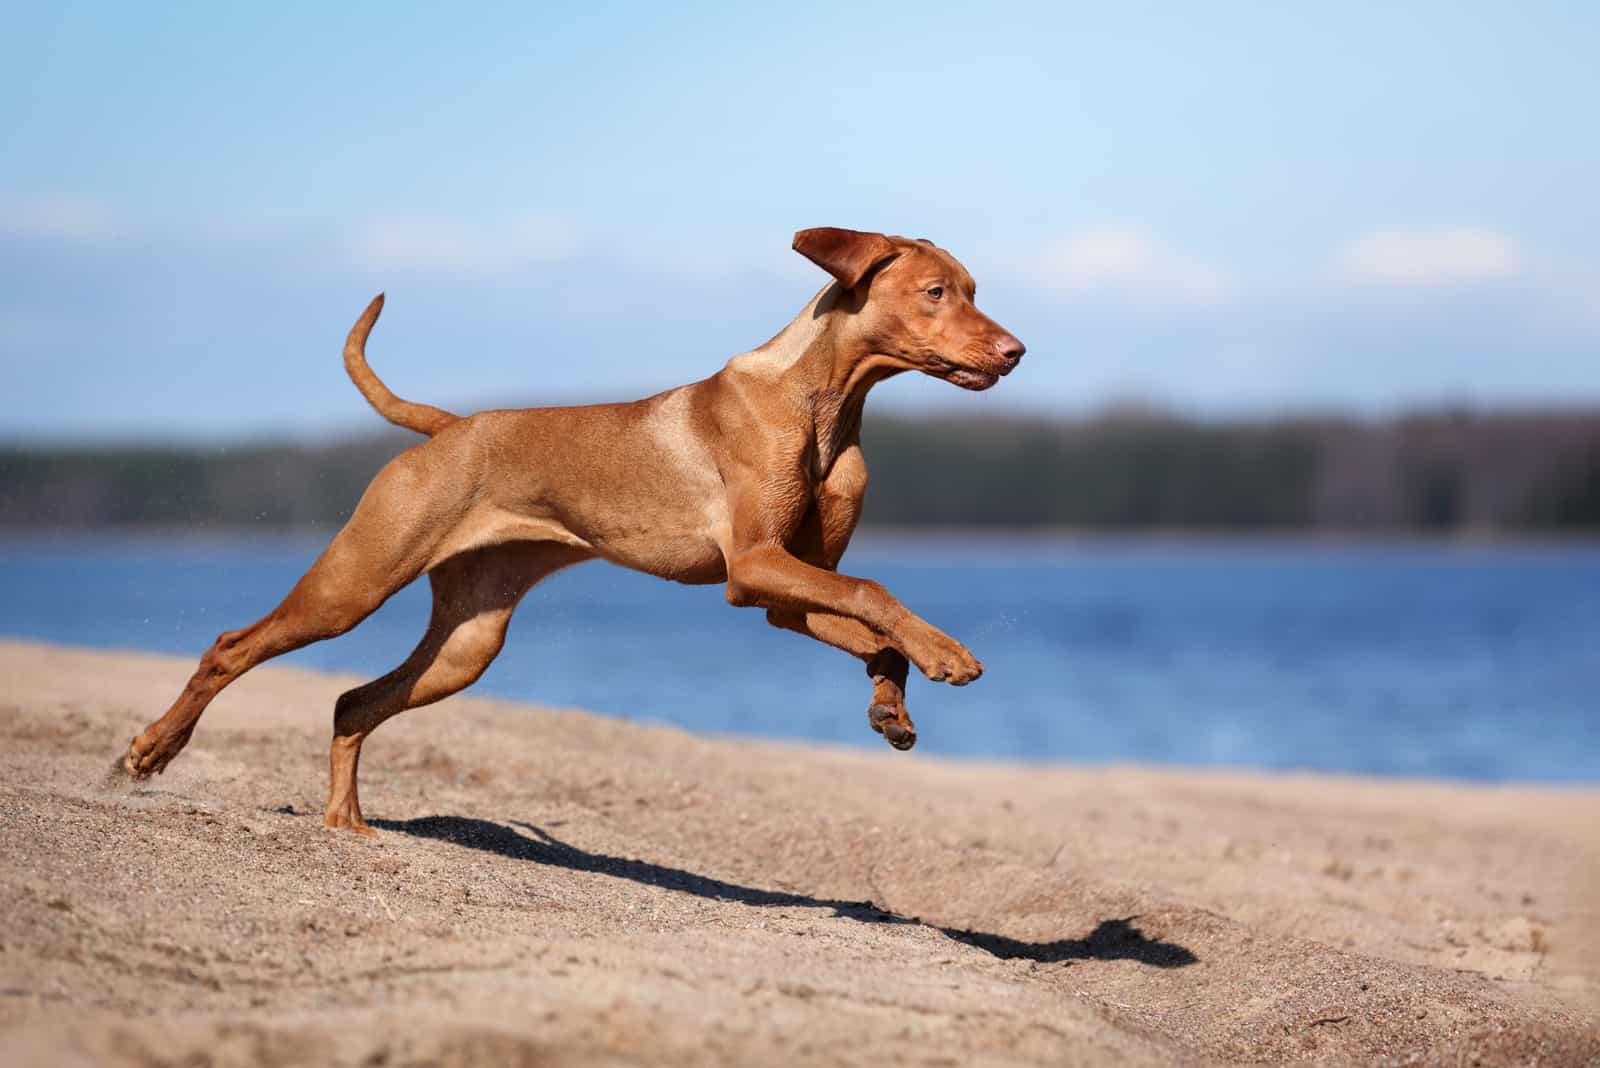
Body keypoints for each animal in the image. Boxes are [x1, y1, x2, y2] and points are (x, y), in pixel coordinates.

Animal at [124, 227, 1024, 831]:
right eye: (937, 292)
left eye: (974, 288)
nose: (1016, 350)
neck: (824, 400)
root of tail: (449, 428)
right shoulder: (755, 568)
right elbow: (876, 590)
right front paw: (947, 652)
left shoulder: (783, 594)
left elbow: (874, 628)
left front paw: (892, 707)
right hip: (354, 583)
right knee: (232, 647)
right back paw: (154, 749)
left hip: (469, 639)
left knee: (353, 702)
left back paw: (346, 823)